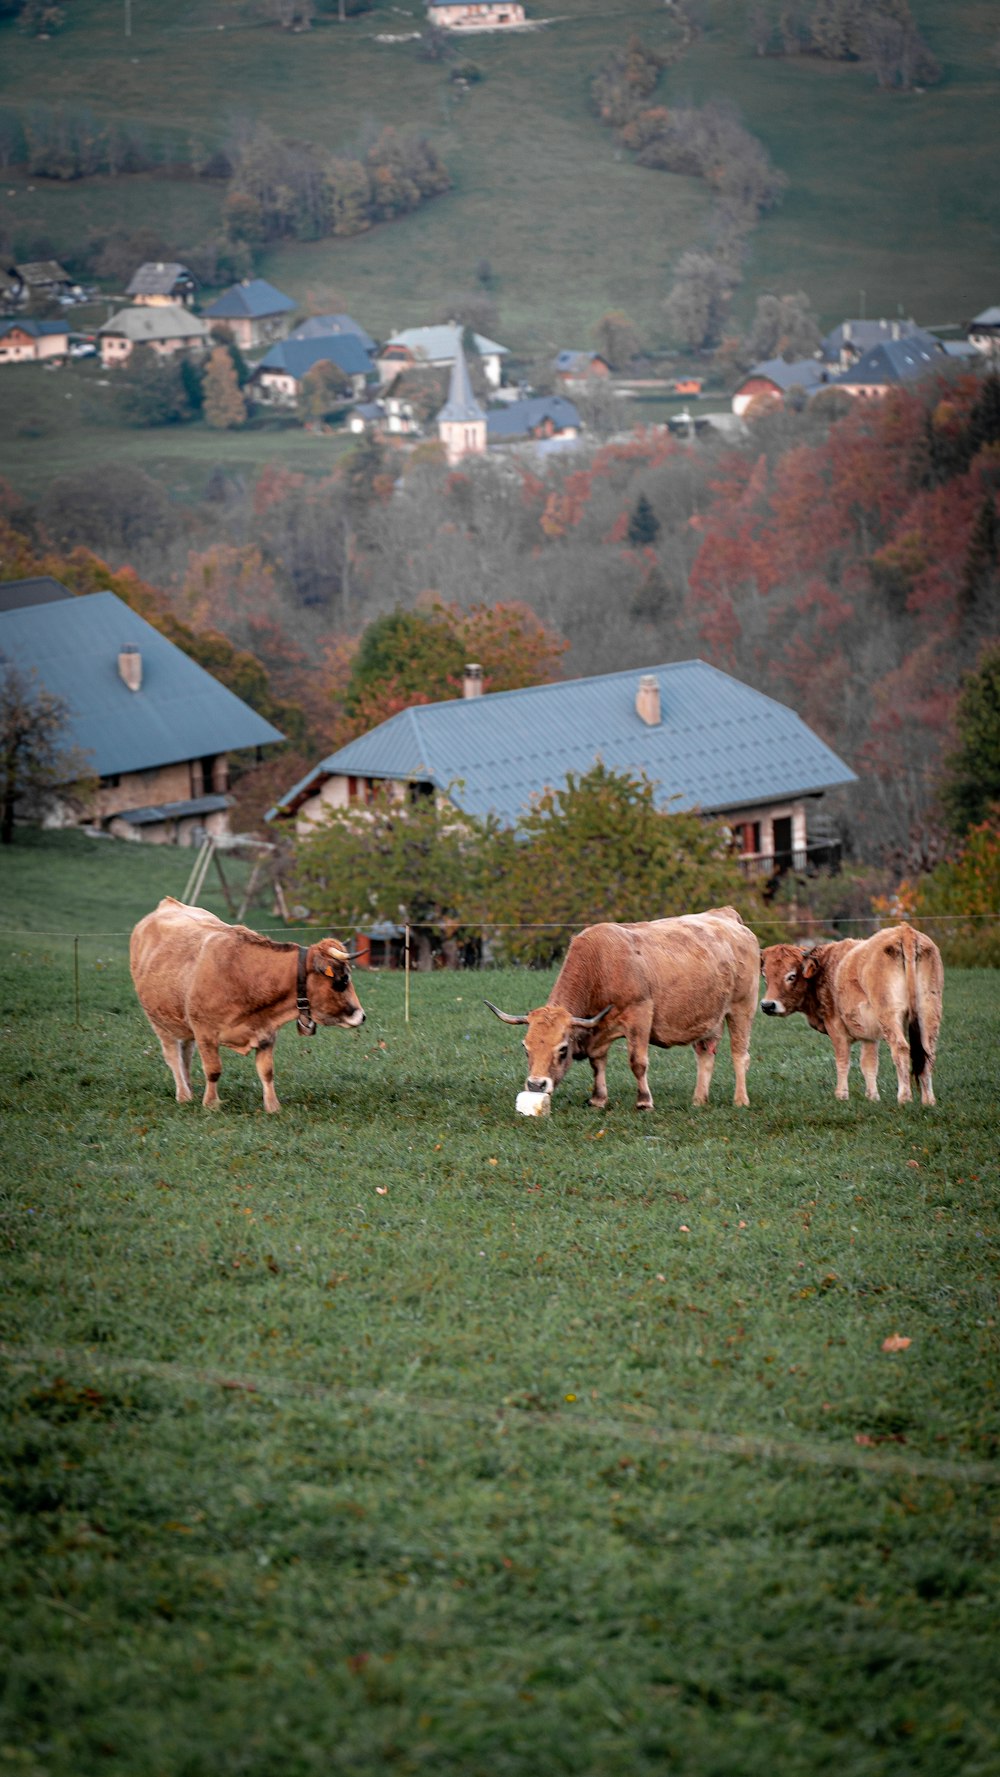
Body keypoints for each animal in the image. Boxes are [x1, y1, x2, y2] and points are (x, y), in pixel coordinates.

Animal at [131, 895, 365, 1115]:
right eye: (343, 980)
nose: (361, 1015)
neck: (244, 975)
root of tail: (168, 904)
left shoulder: (267, 1034)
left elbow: (267, 1072)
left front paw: (272, 1106)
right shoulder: (205, 1033)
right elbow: (213, 1070)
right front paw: (211, 1104)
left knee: (185, 1054)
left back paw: (188, 1088)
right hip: (159, 1022)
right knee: (173, 1056)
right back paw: (183, 1094)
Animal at [486, 902, 760, 1108]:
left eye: (562, 1049)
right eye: (526, 1048)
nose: (536, 1085)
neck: (601, 965)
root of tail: (726, 915)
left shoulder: (640, 1017)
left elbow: (637, 1062)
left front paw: (644, 1101)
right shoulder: (599, 1030)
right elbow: (597, 1063)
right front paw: (598, 1099)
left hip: (741, 1009)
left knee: (739, 1054)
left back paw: (740, 1100)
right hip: (708, 1017)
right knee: (705, 1055)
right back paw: (698, 1100)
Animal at [763, 924, 944, 1101]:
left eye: (792, 976)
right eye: (765, 976)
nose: (767, 1005)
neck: (826, 967)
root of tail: (904, 931)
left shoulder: (836, 1027)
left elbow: (843, 1060)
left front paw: (841, 1094)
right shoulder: (870, 1035)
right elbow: (869, 1064)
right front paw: (872, 1096)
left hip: (889, 1015)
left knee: (901, 1048)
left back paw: (904, 1097)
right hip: (928, 1011)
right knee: (928, 1053)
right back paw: (928, 1100)